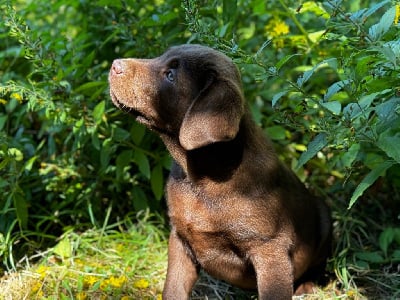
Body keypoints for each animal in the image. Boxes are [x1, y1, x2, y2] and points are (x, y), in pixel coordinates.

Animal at [108, 43, 332, 298]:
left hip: (324, 220)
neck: (202, 175)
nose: (114, 64)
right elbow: (172, 288)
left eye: (171, 75)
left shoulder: (270, 249)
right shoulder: (180, 237)